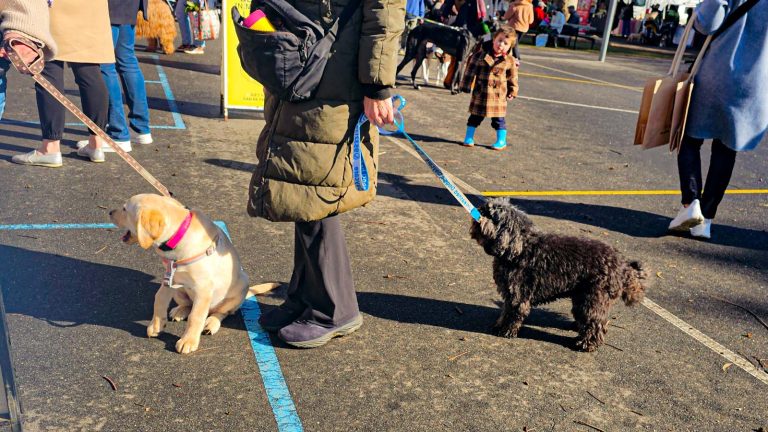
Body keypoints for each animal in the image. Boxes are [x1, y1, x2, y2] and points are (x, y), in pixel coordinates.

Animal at [108, 195, 276, 354]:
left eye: (124, 209)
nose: (109, 212)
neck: (178, 239)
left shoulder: (203, 288)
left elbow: (195, 316)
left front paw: (188, 341)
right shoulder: (170, 277)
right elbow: (159, 298)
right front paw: (156, 324)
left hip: (239, 287)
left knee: (221, 312)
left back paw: (211, 323)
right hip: (179, 290)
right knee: (188, 304)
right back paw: (179, 311)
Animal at [468, 199, 648, 352]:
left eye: (491, 215)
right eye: (485, 208)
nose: (478, 210)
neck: (519, 249)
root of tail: (622, 265)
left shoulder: (518, 295)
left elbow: (513, 314)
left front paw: (506, 331)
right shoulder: (509, 293)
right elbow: (505, 311)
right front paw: (500, 325)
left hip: (594, 298)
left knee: (595, 322)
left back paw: (586, 344)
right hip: (581, 296)